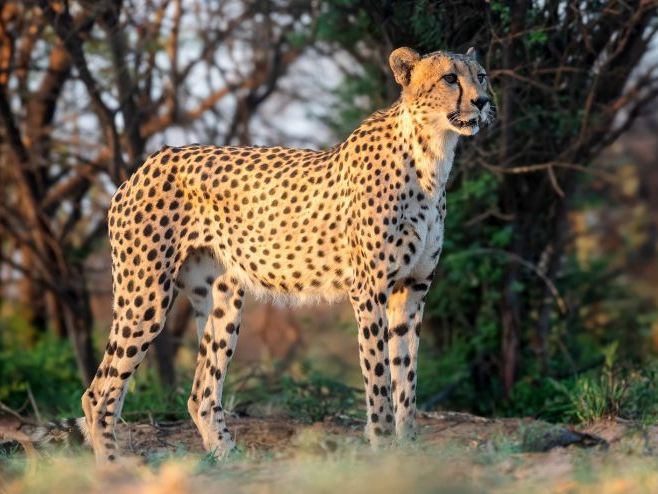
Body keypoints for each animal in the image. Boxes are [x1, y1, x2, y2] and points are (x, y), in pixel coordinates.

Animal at [41, 46, 493, 463]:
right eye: (450, 78)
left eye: (482, 76)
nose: (484, 102)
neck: (431, 155)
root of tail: (149, 161)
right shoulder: (369, 291)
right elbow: (380, 379)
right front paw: (383, 450)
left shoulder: (412, 290)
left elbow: (406, 378)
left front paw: (409, 450)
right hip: (145, 297)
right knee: (98, 393)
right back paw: (115, 466)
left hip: (223, 299)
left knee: (201, 393)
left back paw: (229, 461)